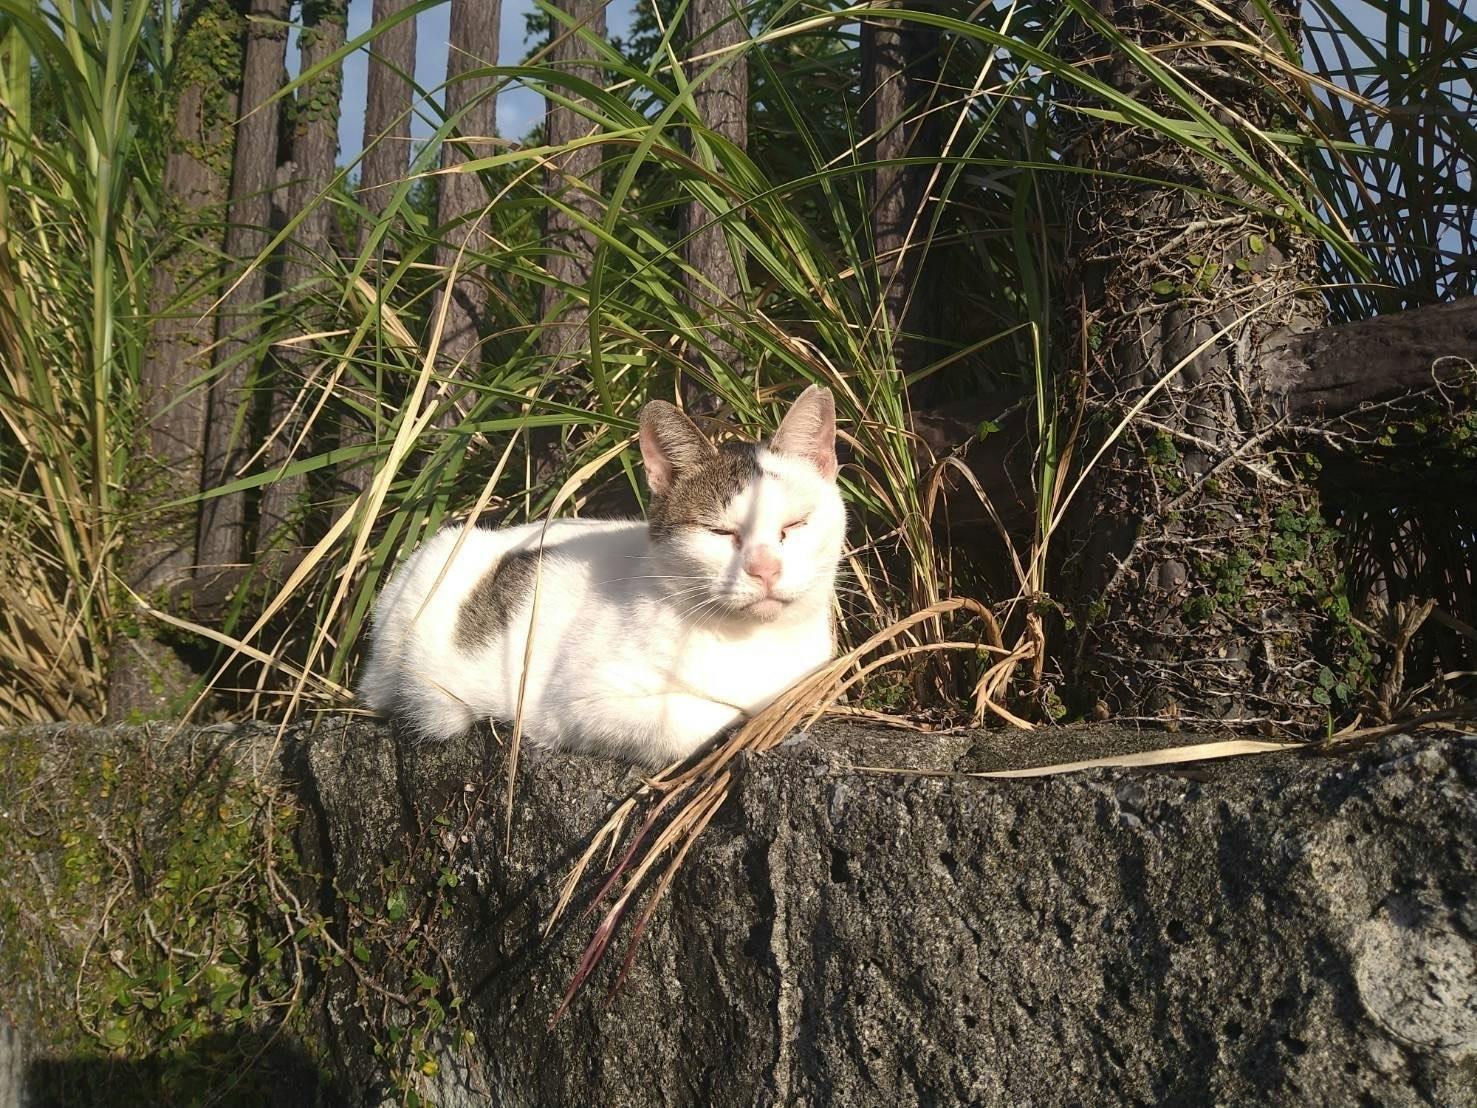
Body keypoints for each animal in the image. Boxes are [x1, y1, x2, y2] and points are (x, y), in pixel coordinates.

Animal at [357, 385, 846, 767]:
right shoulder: (573, 706)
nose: (765, 568)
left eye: (794, 525)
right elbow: (698, 719)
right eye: (721, 532)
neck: (753, 642)